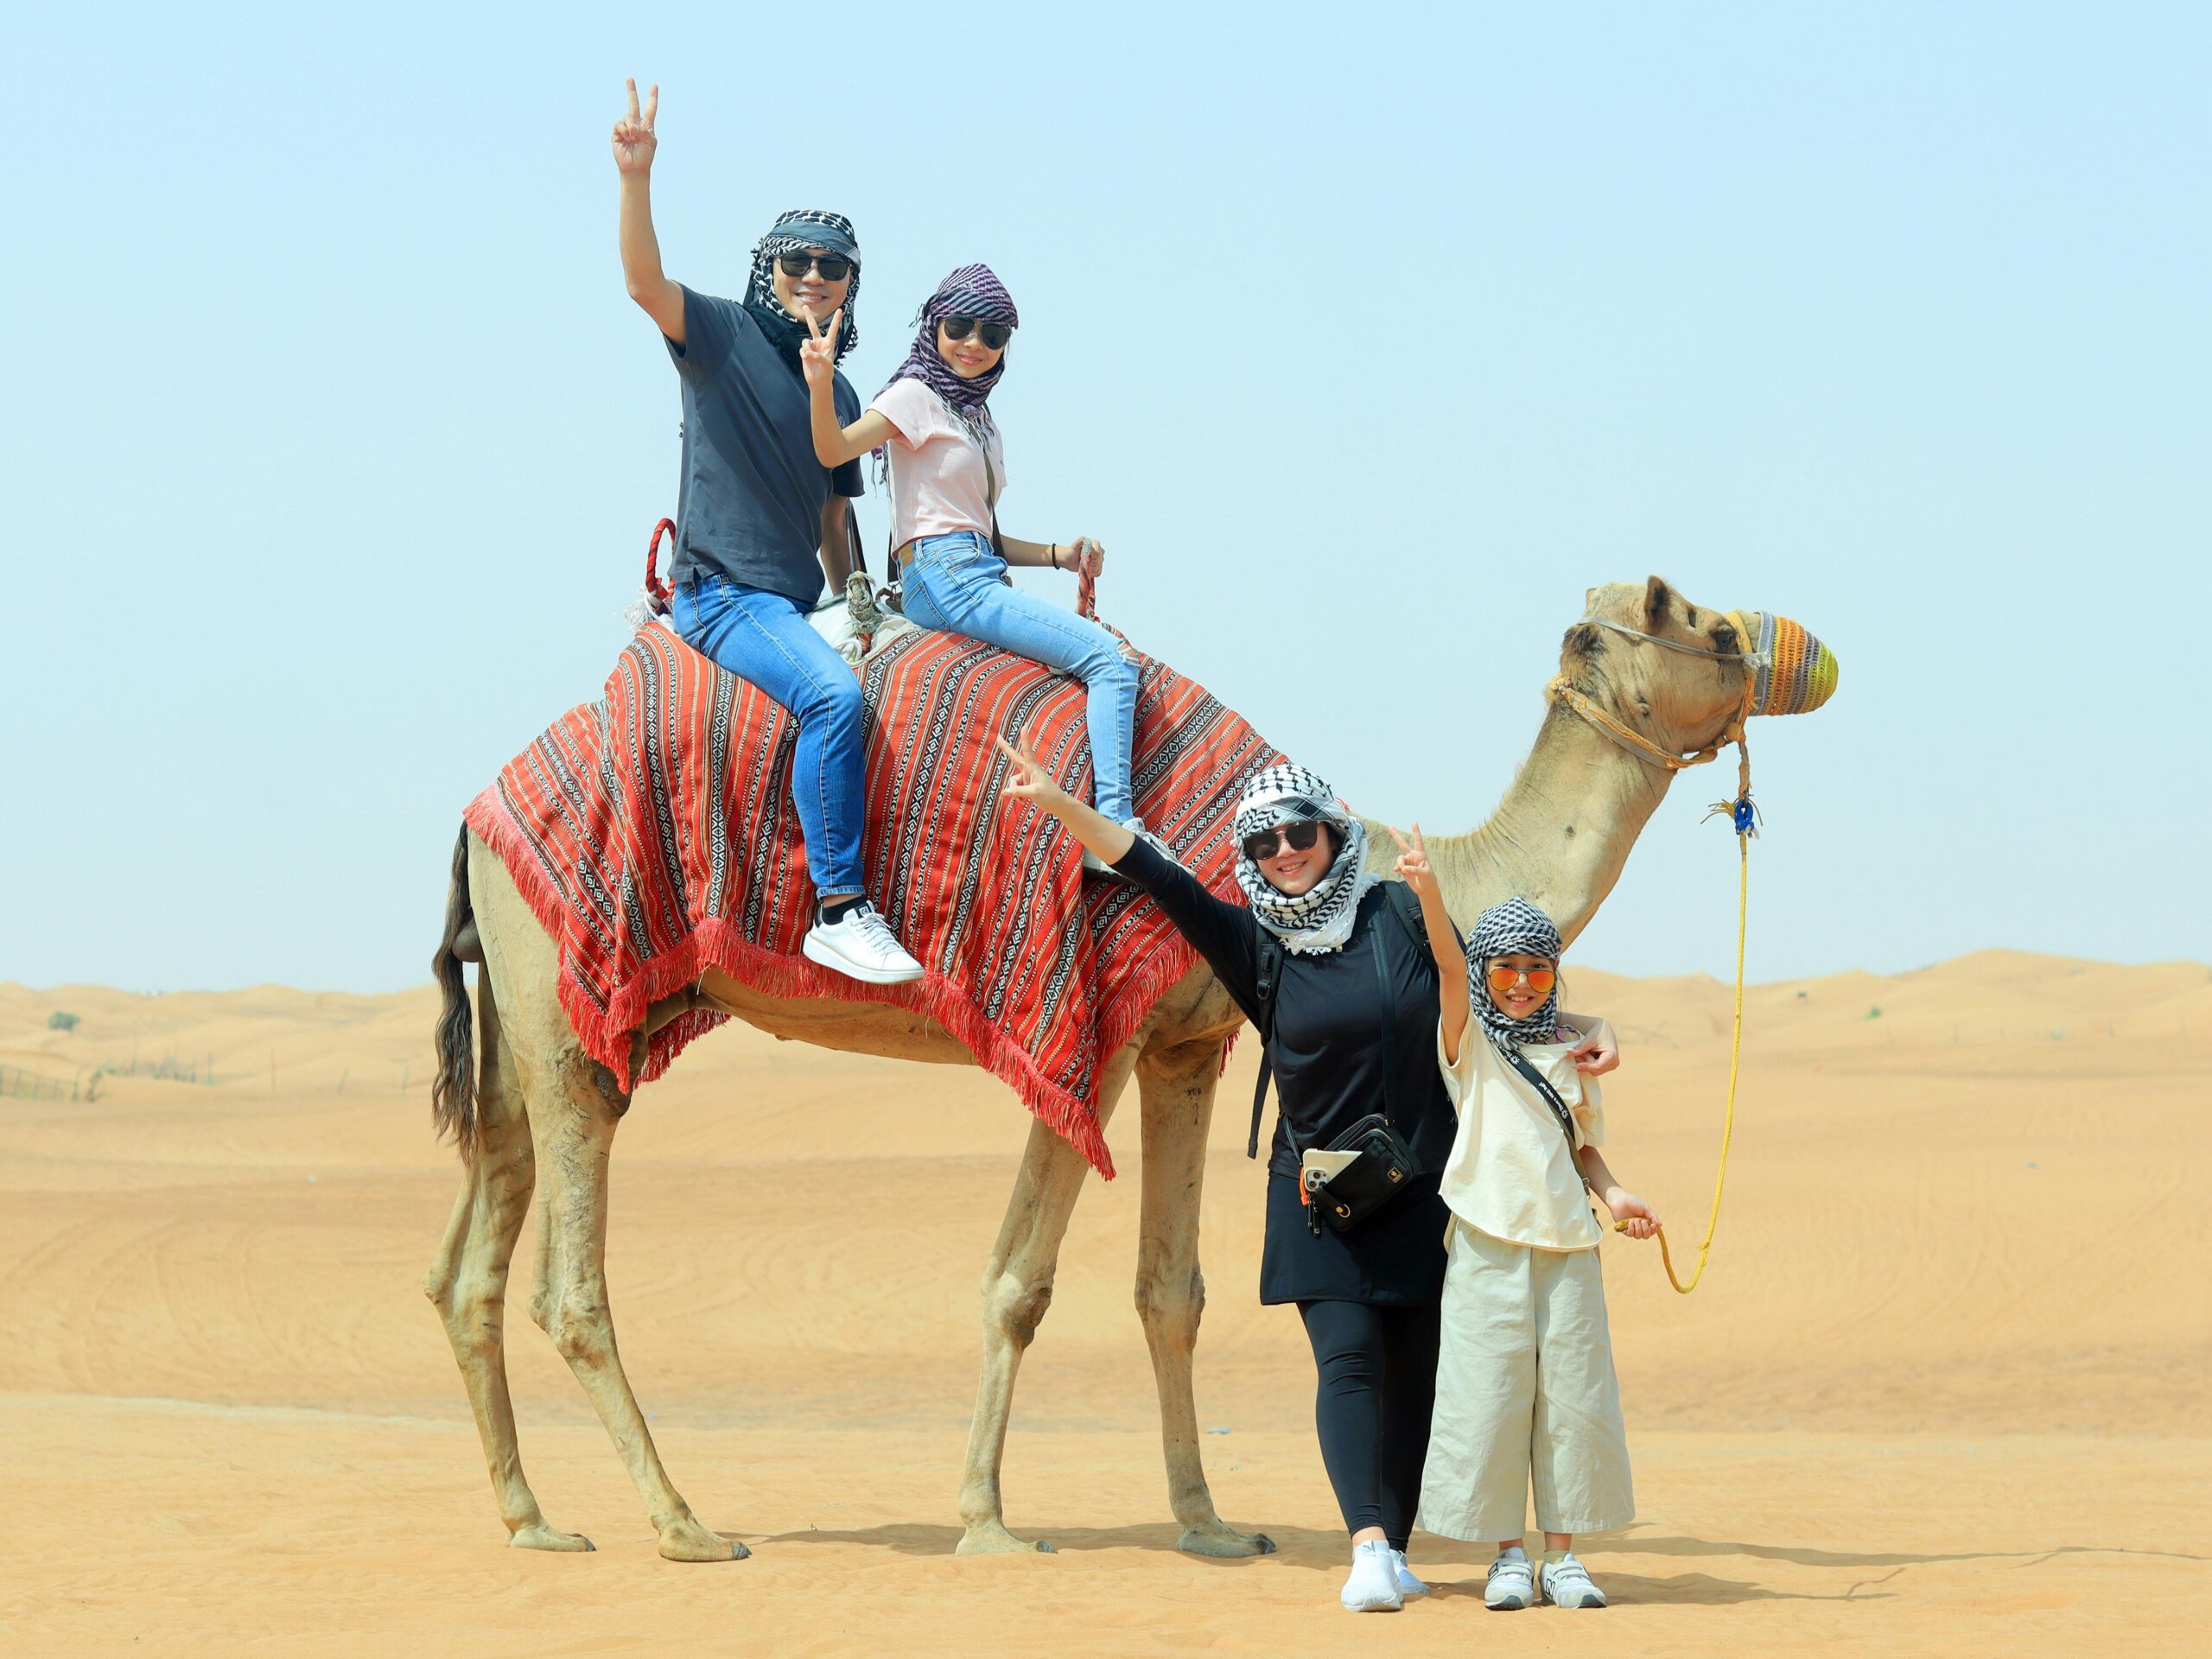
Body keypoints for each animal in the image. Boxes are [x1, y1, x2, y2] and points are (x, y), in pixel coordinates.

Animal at [424, 575, 1824, 1561]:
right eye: (1695, 617)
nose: (1796, 649)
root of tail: (476, 817)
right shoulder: (1085, 1035)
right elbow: (1019, 1284)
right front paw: (987, 1522)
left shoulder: (1187, 1042)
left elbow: (1173, 1291)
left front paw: (1208, 1522)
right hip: (570, 1005)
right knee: (570, 1281)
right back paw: (684, 1524)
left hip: (521, 1015)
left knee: (467, 1266)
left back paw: (531, 1518)